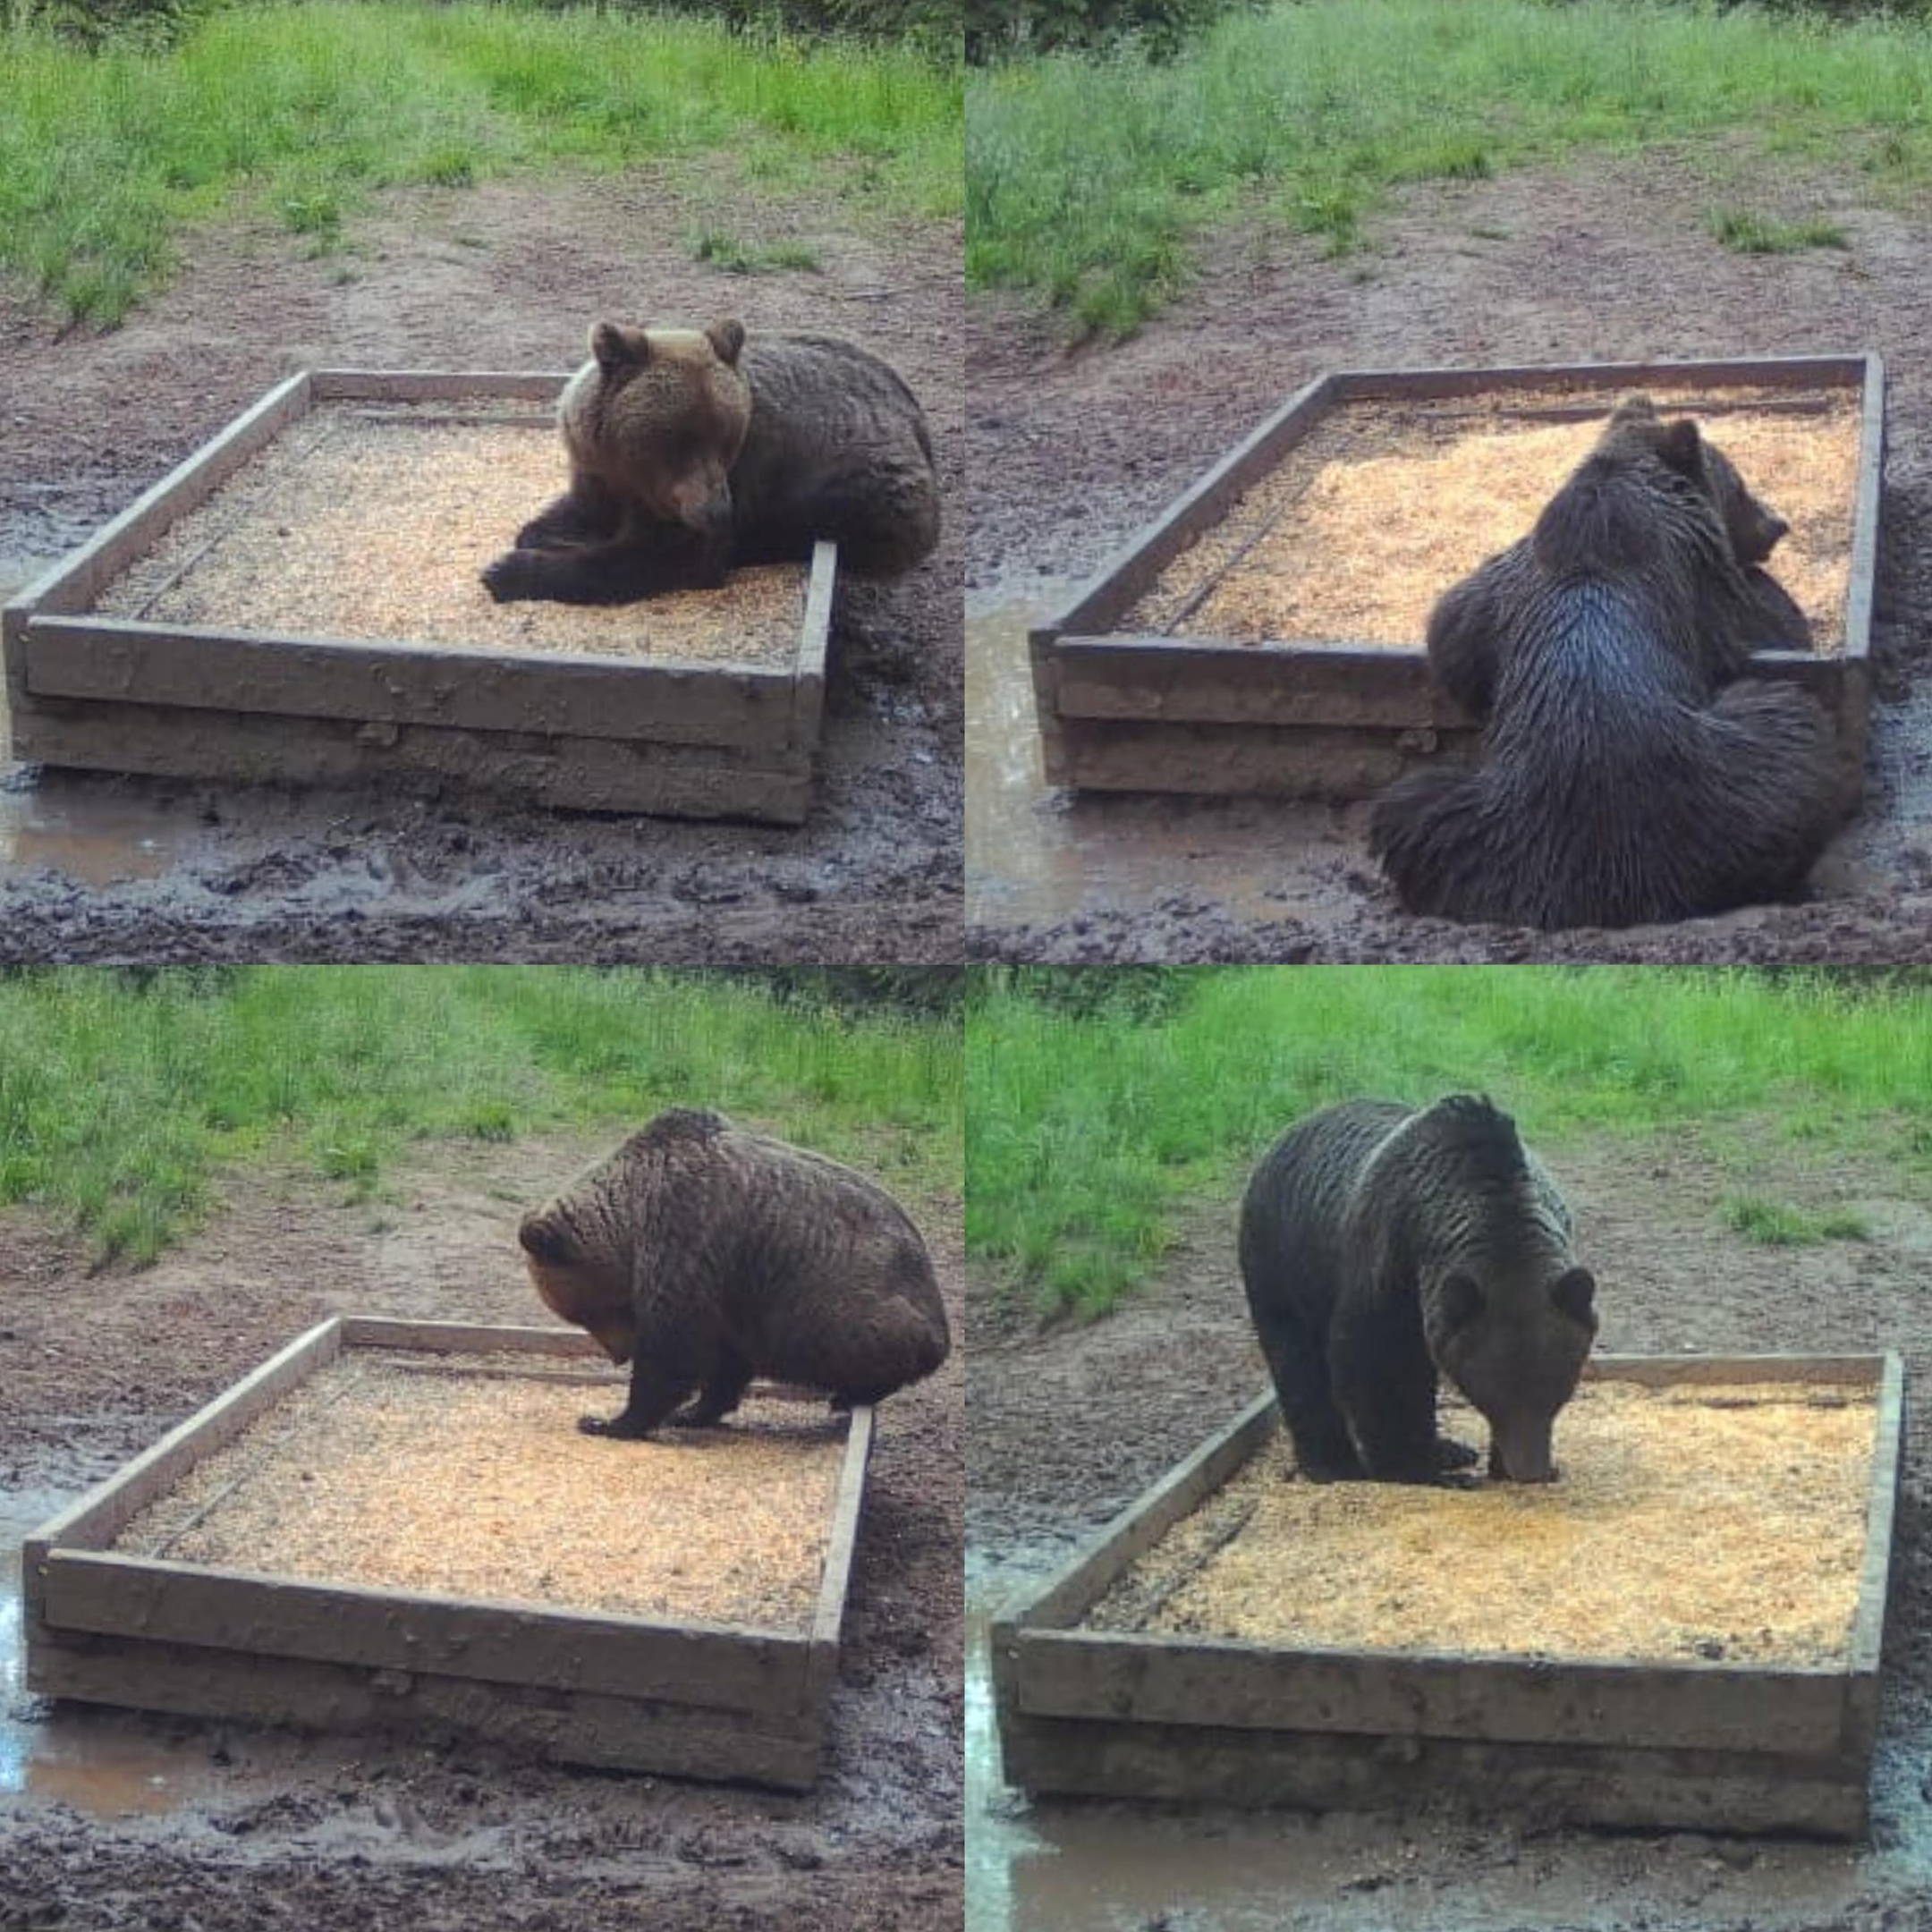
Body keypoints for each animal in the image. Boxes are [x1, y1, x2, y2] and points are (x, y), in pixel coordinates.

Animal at [479, 317, 938, 602]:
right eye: (678, 440)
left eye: (727, 439)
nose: (717, 510)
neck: (630, 473)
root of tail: (914, 411)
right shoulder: (597, 466)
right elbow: (576, 513)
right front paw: (541, 535)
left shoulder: (734, 480)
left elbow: (660, 556)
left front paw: (506, 571)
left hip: (857, 484)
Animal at [517, 1113, 946, 1445]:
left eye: (584, 1314)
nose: (618, 1355)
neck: (634, 1220)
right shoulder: (729, 1289)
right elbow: (722, 1358)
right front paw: (694, 1411)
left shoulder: (686, 1236)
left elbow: (674, 1347)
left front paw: (610, 1421)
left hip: (844, 1305)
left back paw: (848, 1394)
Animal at [1236, 1097, 1599, 1483]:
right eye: (1491, 1397)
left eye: (1559, 1393)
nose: (1532, 1470)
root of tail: (1291, 1130)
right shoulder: (1386, 1265)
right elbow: (1379, 1368)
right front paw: (1415, 1469)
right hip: (1284, 1264)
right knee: (1297, 1362)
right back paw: (1332, 1463)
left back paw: (1450, 1449)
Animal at [1360, 394, 1839, 927]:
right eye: (1738, 482)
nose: (1778, 524)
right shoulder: (1710, 593)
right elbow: (1774, 623)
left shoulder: (1503, 593)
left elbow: (1455, 633)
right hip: (1727, 779)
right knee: (1789, 718)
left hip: (1466, 829)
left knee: (1412, 817)